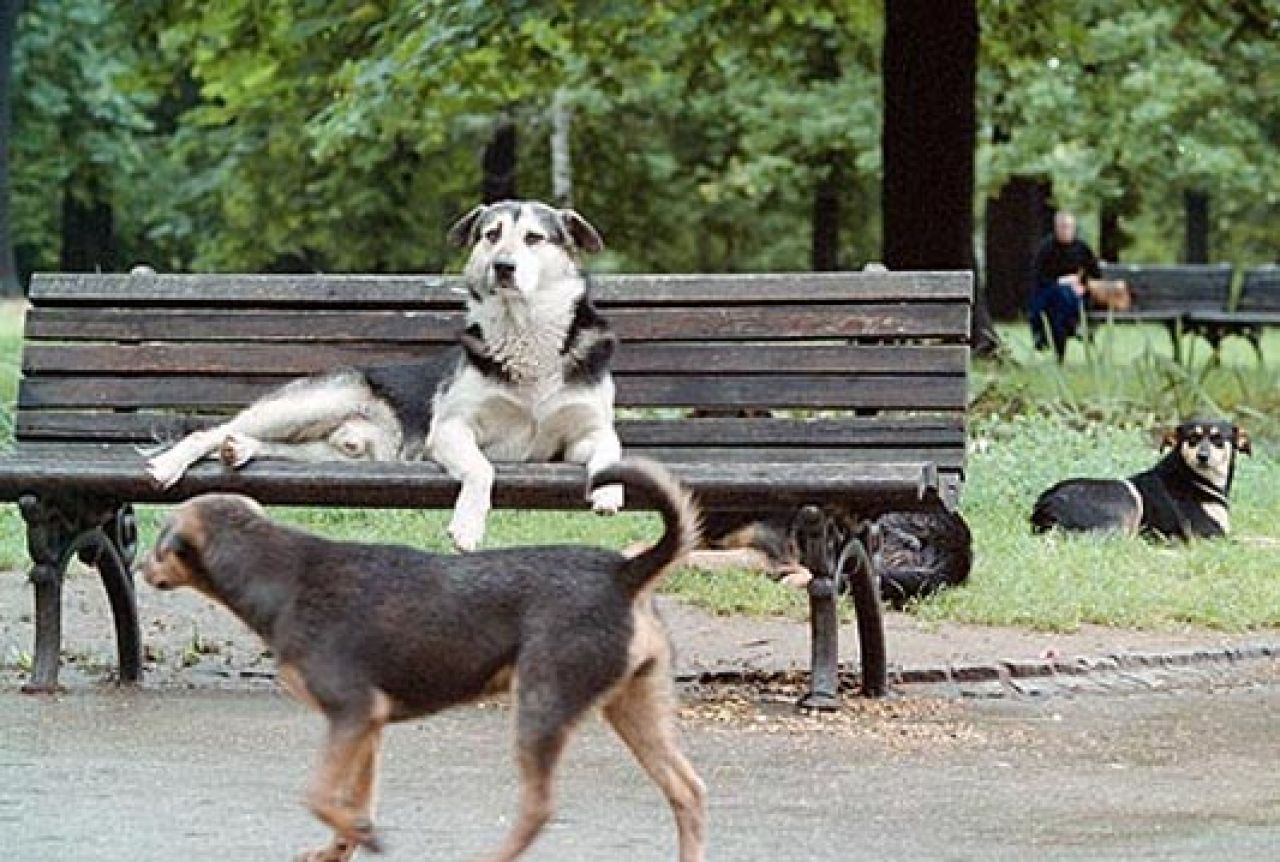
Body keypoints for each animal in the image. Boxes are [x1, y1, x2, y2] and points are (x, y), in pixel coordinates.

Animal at [145, 201, 624, 548]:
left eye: (533, 238)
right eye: (492, 235)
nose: (503, 266)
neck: (524, 335)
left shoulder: (580, 437)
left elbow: (610, 450)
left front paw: (609, 491)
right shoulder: (451, 431)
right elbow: (482, 469)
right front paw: (467, 526)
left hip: (340, 455)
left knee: (271, 445)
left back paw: (240, 449)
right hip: (314, 402)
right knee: (208, 432)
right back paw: (170, 463)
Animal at [1029, 417, 1249, 537]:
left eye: (1218, 439)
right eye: (1192, 439)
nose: (1202, 457)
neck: (1194, 478)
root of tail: (1046, 503)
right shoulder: (1211, 535)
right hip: (1127, 497)